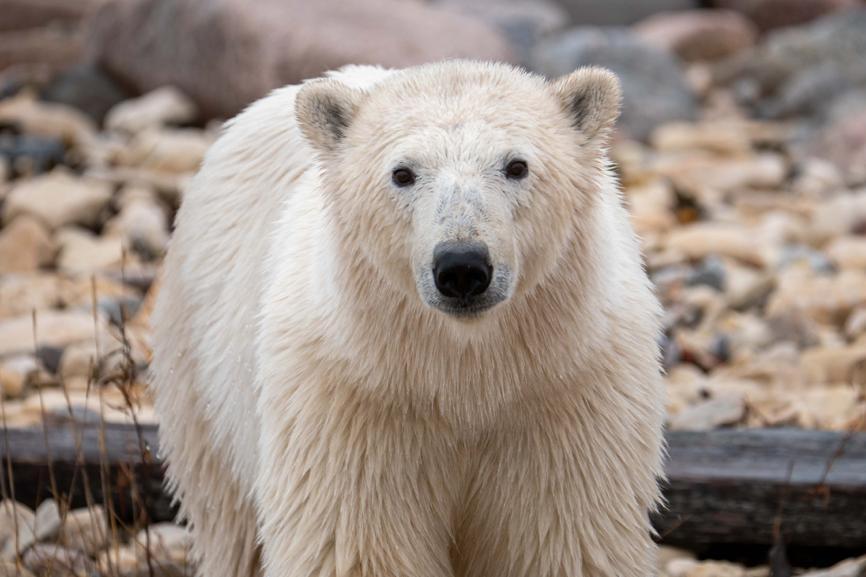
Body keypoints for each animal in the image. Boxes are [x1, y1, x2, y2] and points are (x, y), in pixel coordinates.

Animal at [151, 60, 665, 577]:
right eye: (403, 172)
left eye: (517, 165)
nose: (462, 267)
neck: (462, 374)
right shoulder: (354, 398)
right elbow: (355, 541)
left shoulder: (568, 391)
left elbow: (565, 536)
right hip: (201, 372)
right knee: (230, 523)